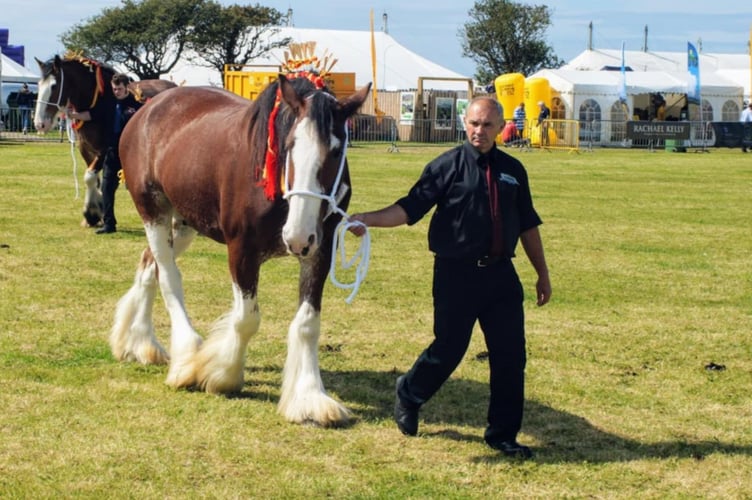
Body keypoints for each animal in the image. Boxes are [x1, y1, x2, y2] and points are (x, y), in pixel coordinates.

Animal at [32, 55, 176, 227]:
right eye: (39, 84)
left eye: (54, 86)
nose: (40, 124)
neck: (99, 103)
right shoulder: (85, 148)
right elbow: (95, 180)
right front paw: (96, 211)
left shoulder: (104, 150)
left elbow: (89, 177)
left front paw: (91, 212)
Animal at [110, 72, 372, 428]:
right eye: (289, 145)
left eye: (334, 152)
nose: (296, 237)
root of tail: (148, 108)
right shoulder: (242, 250)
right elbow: (247, 319)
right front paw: (222, 374)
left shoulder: (320, 249)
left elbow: (307, 323)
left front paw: (308, 398)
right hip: (153, 211)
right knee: (168, 277)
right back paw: (185, 358)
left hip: (184, 222)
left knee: (150, 265)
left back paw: (138, 342)